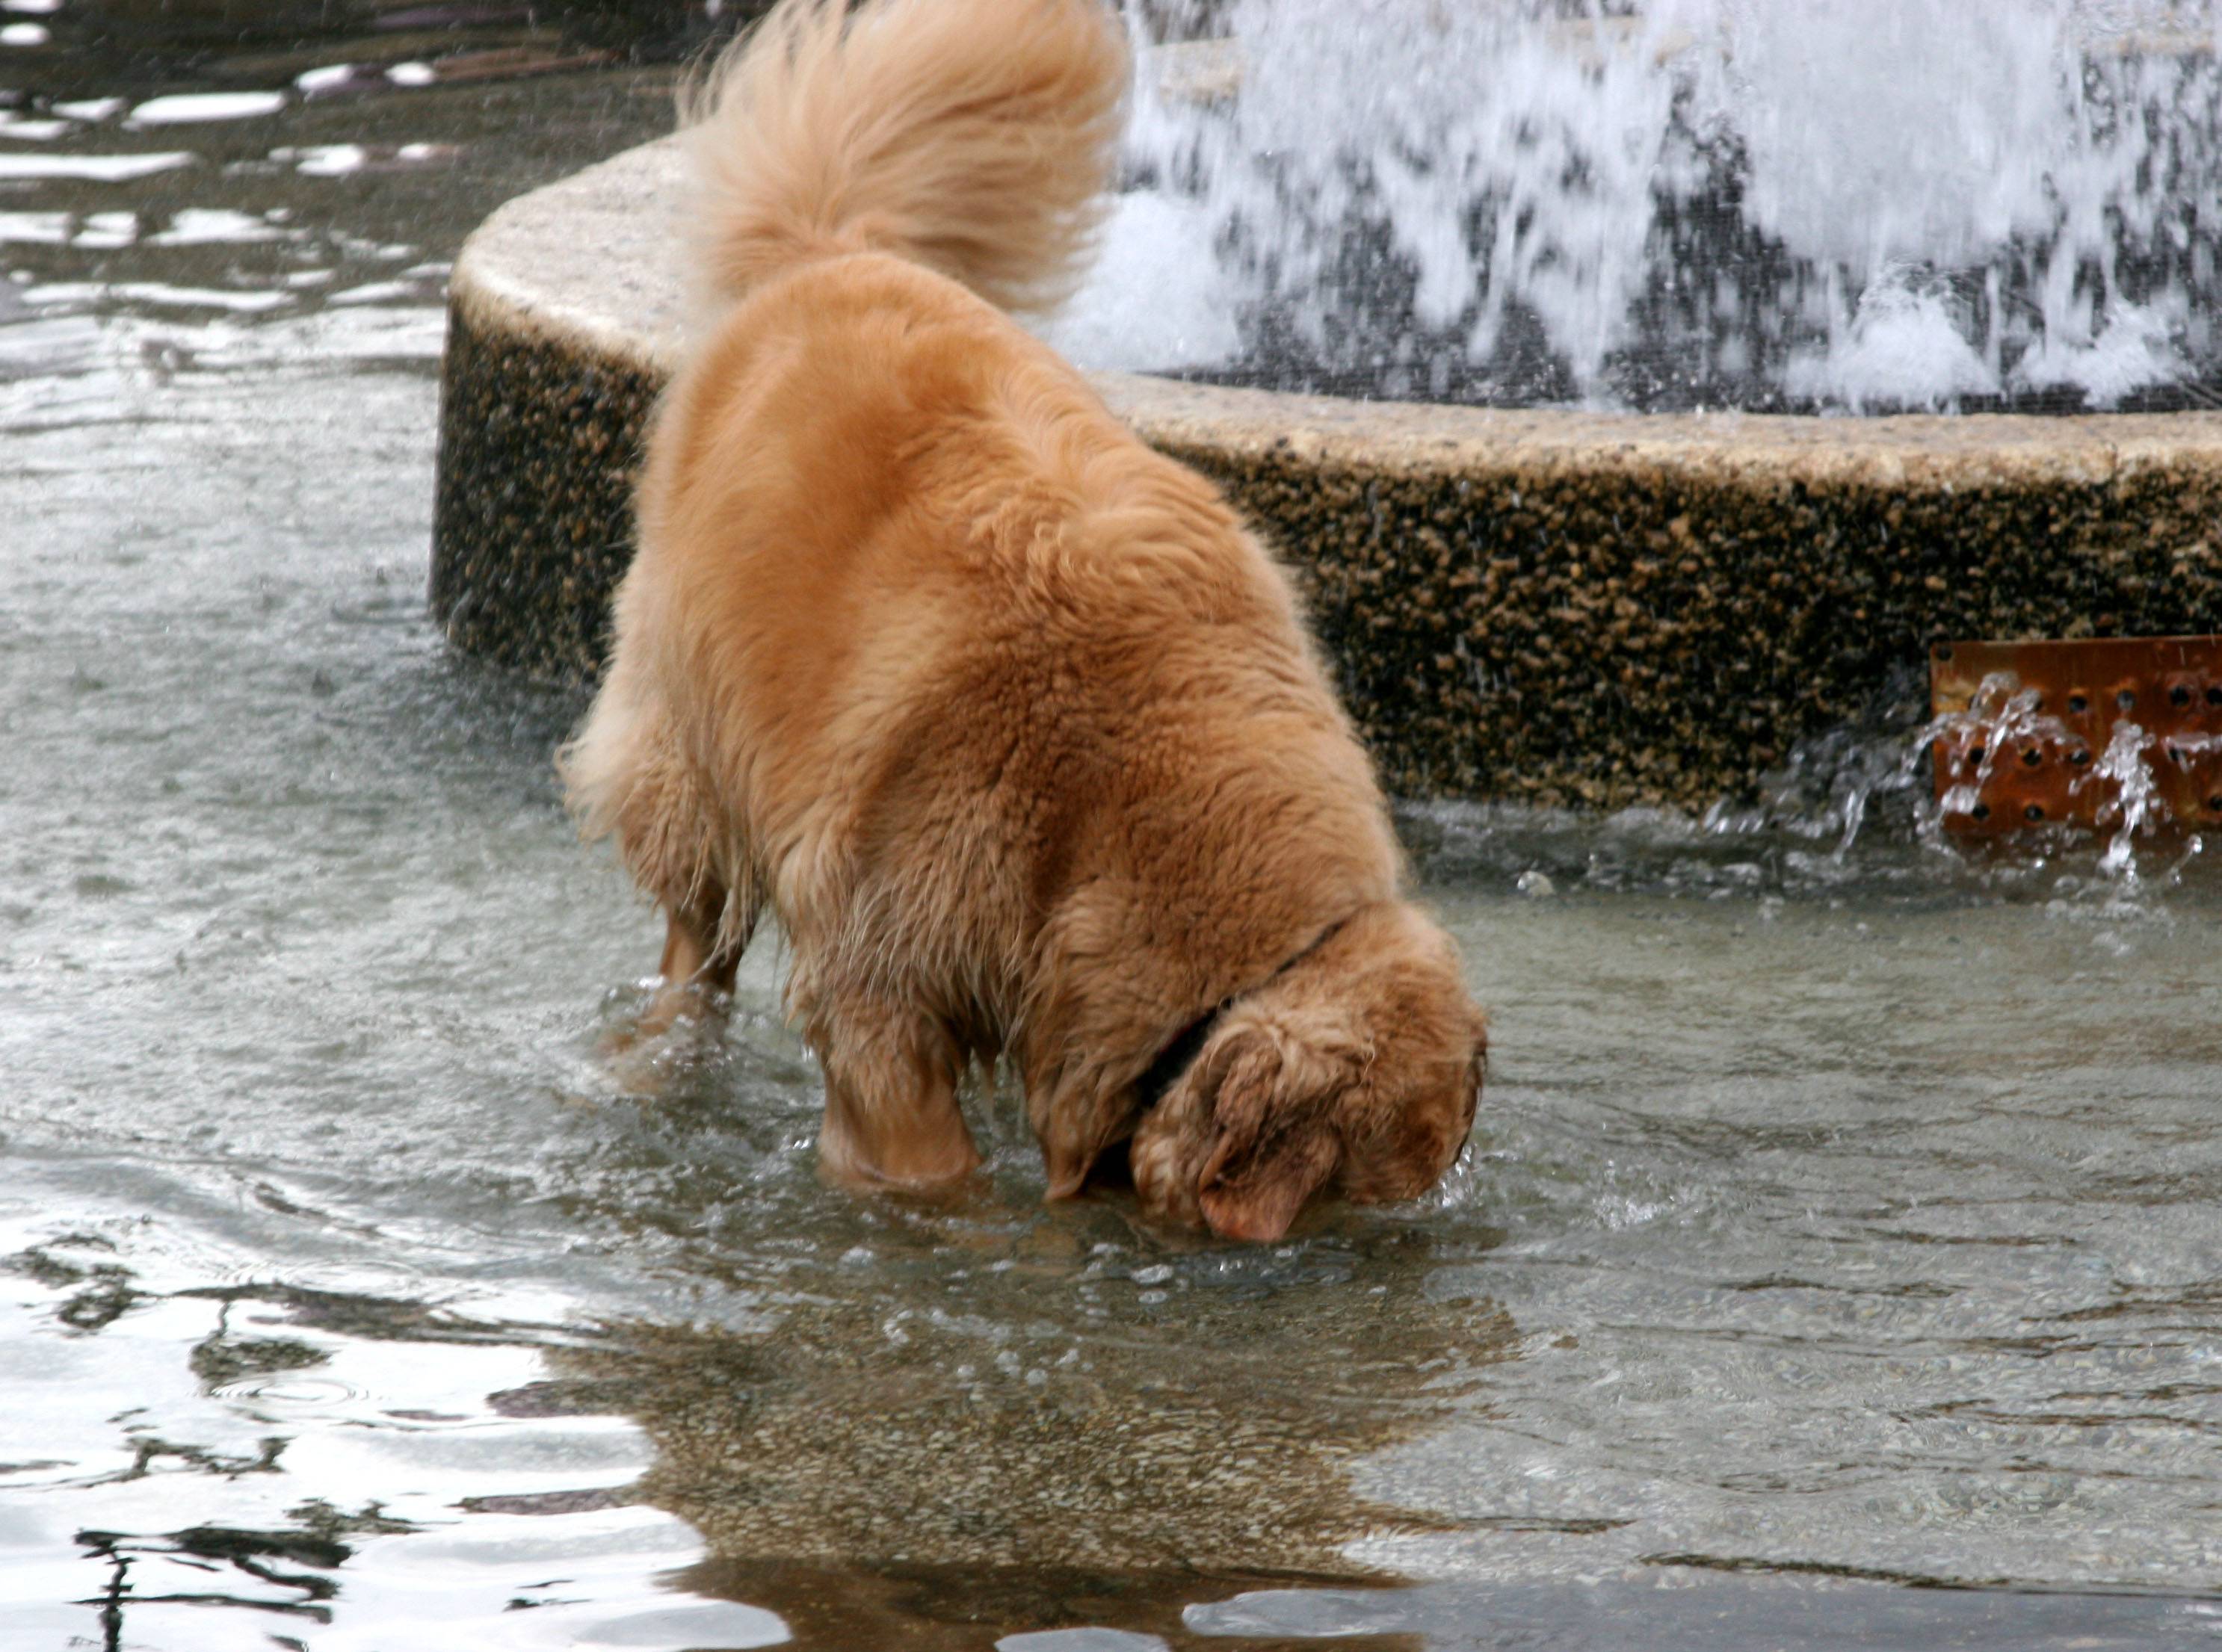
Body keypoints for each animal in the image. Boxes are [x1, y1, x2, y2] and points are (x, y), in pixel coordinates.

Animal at [564, 0, 1484, 1243]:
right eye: (1345, 1199)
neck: (1120, 800)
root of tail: (830, 250)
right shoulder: (878, 981)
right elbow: (923, 1159)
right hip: (687, 748)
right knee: (694, 941)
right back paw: (658, 1054)